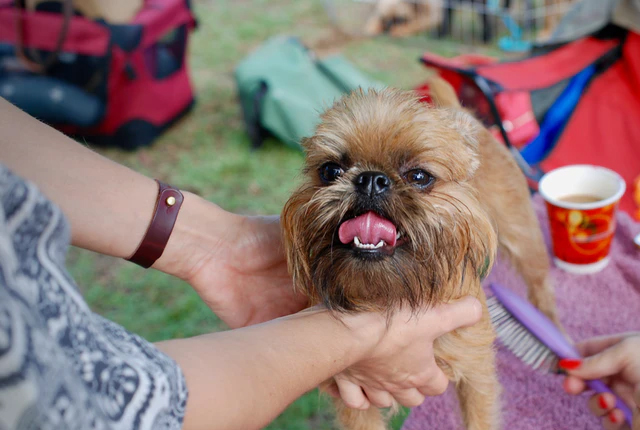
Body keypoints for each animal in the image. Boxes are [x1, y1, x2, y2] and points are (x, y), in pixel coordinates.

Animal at [282, 78, 556, 430]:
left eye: (419, 176)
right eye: (330, 171)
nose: (371, 179)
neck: (393, 298)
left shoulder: (476, 373)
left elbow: (479, 418)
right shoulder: (354, 395)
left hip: (522, 235)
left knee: (540, 287)